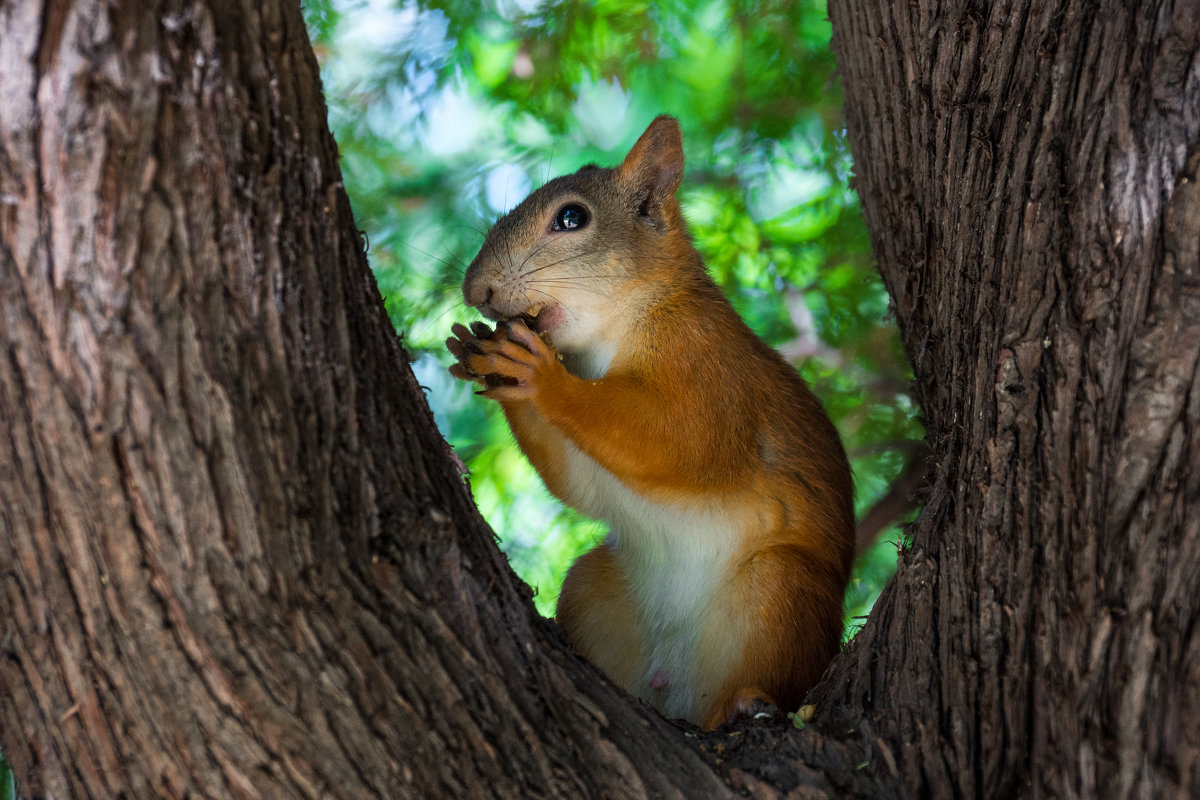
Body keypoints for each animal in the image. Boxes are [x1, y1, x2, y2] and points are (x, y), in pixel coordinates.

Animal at [448, 113, 854, 734]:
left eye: (572, 218)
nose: (476, 290)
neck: (617, 327)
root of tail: (678, 689)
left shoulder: (709, 366)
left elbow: (683, 443)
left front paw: (540, 376)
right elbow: (583, 485)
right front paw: (487, 356)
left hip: (782, 592)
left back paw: (744, 702)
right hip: (595, 590)